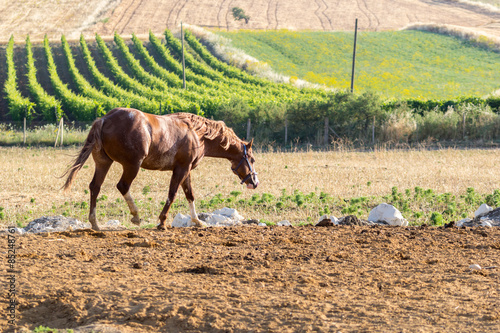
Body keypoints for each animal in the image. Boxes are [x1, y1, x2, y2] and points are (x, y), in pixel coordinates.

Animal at [62, 107, 258, 230]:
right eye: (252, 159)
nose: (254, 182)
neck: (197, 134)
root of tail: (104, 119)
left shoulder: (186, 170)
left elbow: (190, 194)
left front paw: (197, 221)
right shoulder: (181, 169)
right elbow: (172, 193)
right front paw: (162, 222)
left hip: (104, 163)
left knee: (95, 187)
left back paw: (95, 223)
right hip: (132, 165)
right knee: (122, 186)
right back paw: (136, 216)